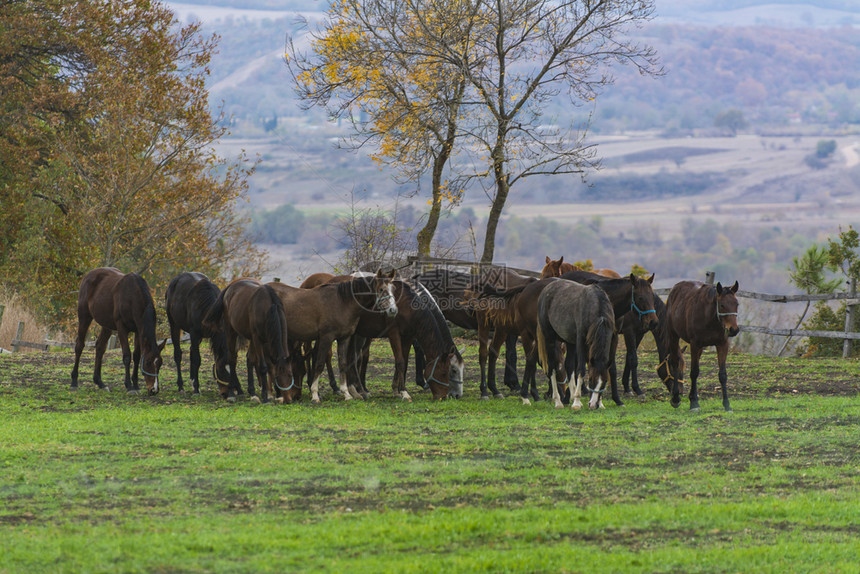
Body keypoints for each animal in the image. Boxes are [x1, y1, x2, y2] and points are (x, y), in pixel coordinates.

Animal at [268, 272, 396, 402]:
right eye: (381, 289)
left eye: (394, 289)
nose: (393, 310)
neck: (342, 303)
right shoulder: (326, 338)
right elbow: (319, 364)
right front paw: (315, 394)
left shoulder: (344, 338)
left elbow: (343, 364)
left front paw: (346, 393)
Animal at [536, 282, 616, 412]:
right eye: (591, 379)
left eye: (604, 382)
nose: (593, 405)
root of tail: (546, 289)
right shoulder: (581, 340)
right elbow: (581, 370)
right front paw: (577, 402)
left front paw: (600, 403)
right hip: (549, 338)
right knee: (552, 367)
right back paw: (558, 401)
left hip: (570, 342)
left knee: (568, 366)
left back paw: (571, 397)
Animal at [664, 282, 740, 412]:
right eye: (722, 305)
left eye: (736, 304)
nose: (733, 329)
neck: (709, 318)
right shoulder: (695, 345)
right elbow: (694, 372)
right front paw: (694, 403)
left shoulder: (722, 345)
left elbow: (722, 375)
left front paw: (727, 404)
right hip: (673, 335)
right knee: (675, 362)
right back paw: (676, 398)